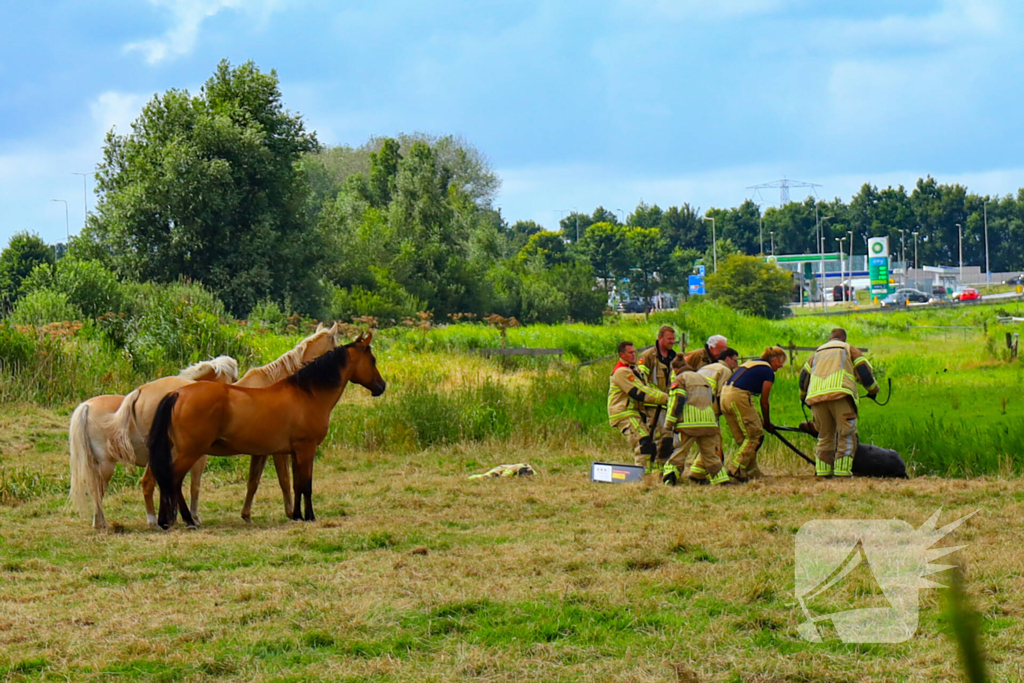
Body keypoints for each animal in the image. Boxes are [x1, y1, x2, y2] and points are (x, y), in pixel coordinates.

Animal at [68, 322, 339, 530]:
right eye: (335, 345)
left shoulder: (259, 452)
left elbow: (252, 482)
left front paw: (247, 514)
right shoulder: (276, 451)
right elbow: (283, 480)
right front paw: (290, 512)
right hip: (117, 463)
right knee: (125, 486)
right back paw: (149, 520)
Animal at [147, 333, 385, 529]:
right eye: (372, 360)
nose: (381, 386)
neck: (307, 394)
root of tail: (178, 393)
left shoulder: (294, 452)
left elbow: (296, 484)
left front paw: (297, 515)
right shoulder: (306, 450)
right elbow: (306, 485)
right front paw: (310, 516)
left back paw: (166, 520)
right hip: (190, 452)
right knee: (173, 480)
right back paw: (187, 520)